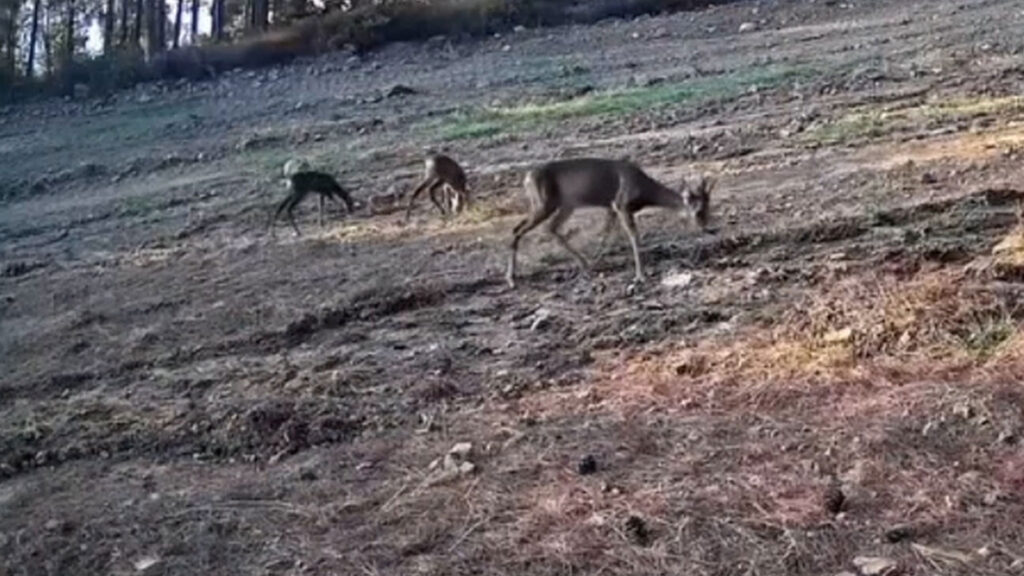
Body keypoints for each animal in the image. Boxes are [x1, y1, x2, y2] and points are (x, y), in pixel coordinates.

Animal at [505, 157, 713, 288]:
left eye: (709, 208)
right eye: (697, 212)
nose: (707, 228)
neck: (644, 191)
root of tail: (527, 178)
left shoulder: (611, 207)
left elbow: (607, 233)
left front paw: (599, 258)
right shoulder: (621, 204)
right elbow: (633, 236)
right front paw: (640, 276)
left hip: (564, 204)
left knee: (549, 228)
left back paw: (585, 264)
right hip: (544, 203)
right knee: (519, 229)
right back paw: (511, 279)